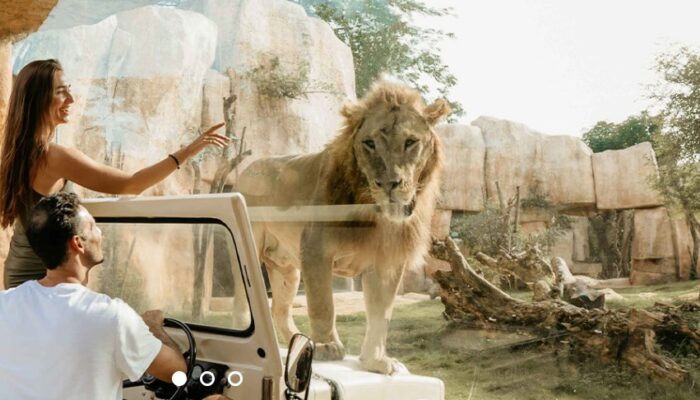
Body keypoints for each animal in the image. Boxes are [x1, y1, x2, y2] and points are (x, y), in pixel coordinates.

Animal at [239, 81, 448, 376]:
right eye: (369, 143)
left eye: (410, 142)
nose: (388, 184)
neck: (375, 214)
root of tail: (249, 167)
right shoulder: (316, 250)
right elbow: (322, 304)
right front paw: (326, 346)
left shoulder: (386, 262)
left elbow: (381, 313)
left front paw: (375, 360)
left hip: (286, 268)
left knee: (280, 310)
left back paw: (294, 343)